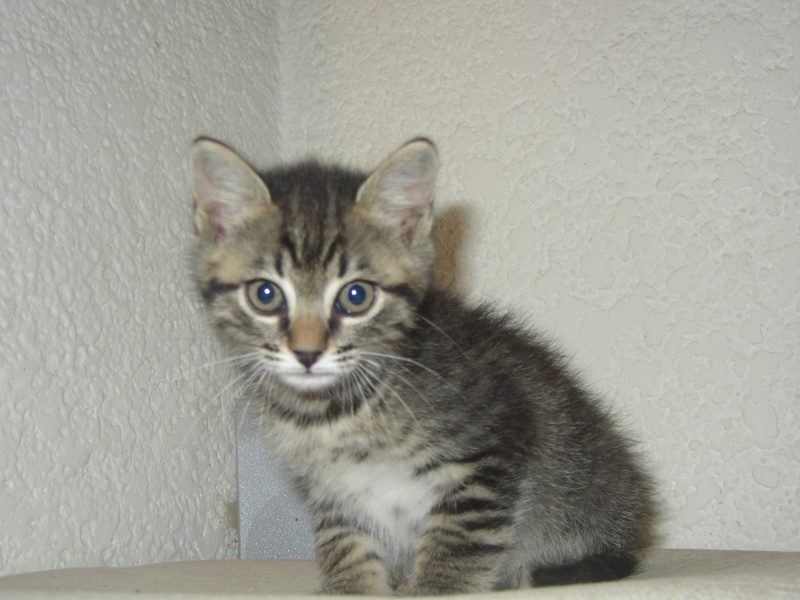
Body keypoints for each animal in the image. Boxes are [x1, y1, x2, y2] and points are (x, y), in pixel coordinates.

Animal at [191, 138, 652, 592]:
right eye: (265, 295)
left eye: (356, 296)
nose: (307, 353)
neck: (334, 413)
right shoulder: (335, 494)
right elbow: (347, 550)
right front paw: (350, 587)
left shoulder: (491, 448)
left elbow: (456, 549)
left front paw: (434, 585)